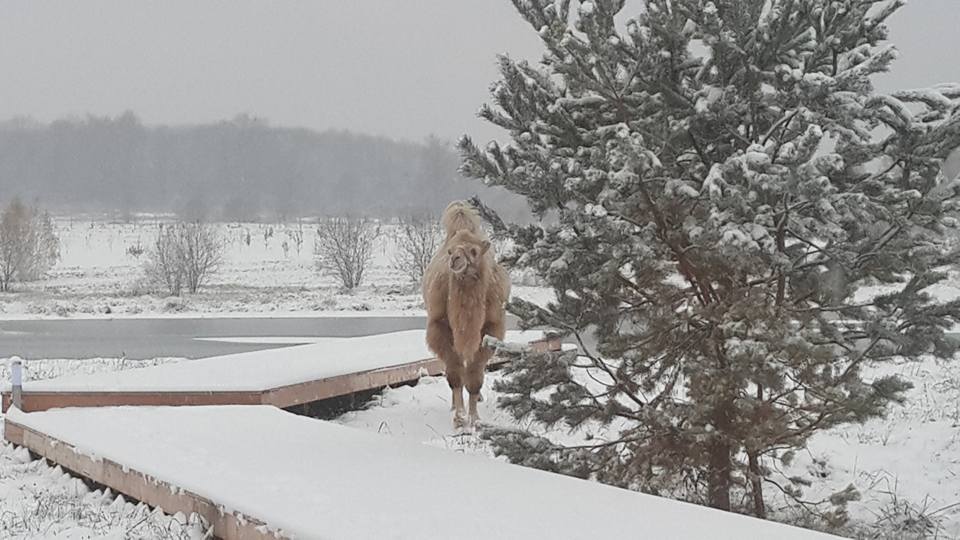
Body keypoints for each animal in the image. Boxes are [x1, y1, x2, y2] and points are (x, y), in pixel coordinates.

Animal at [422, 200, 510, 428]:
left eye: (474, 251)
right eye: (450, 251)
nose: (455, 259)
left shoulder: (490, 328)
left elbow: (474, 377)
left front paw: (475, 418)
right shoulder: (440, 327)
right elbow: (455, 375)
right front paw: (460, 417)